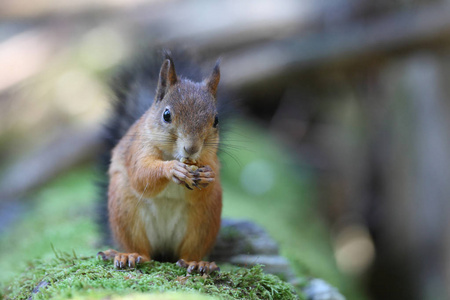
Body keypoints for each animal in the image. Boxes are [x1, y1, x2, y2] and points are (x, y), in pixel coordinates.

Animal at [98, 51, 221, 274]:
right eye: (166, 115)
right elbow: (141, 174)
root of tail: (164, 252)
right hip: (125, 210)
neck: (174, 154)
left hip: (204, 220)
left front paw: (208, 175)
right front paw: (172, 169)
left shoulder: (210, 157)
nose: (192, 148)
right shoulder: (138, 148)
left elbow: (209, 180)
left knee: (188, 253)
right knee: (142, 251)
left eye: (216, 120)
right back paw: (130, 255)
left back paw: (197, 263)